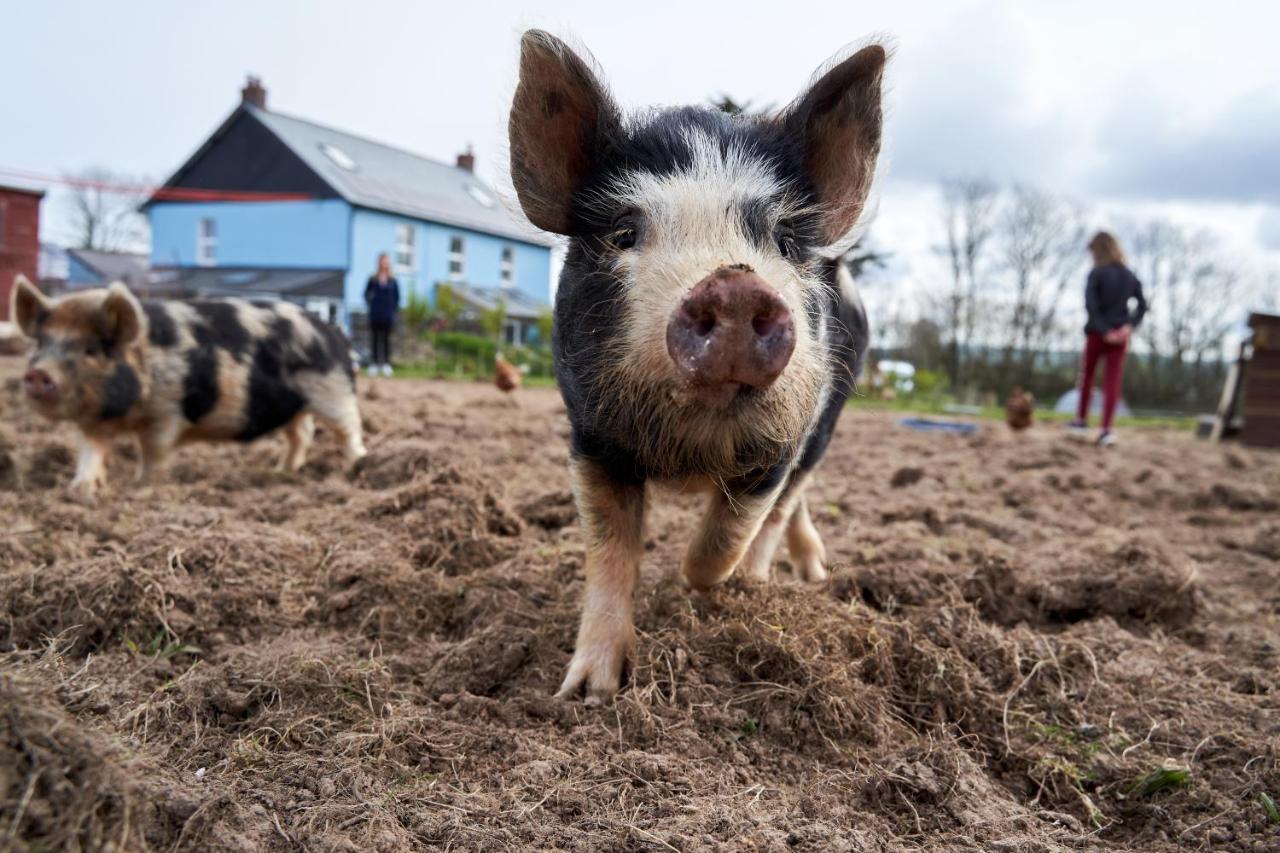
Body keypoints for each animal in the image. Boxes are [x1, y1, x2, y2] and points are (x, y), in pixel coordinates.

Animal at [11, 275, 366, 494]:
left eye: (92, 350)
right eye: (41, 343)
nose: (38, 374)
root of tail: (332, 330)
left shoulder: (167, 413)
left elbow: (152, 452)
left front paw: (142, 485)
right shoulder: (93, 422)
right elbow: (91, 452)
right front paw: (80, 491)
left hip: (334, 392)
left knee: (348, 430)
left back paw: (358, 466)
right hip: (291, 407)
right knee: (301, 433)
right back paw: (281, 472)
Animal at [504, 31, 885, 696]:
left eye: (785, 243)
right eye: (624, 232)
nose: (734, 286)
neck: (689, 455)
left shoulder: (781, 445)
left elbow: (726, 539)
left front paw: (694, 586)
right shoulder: (590, 439)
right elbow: (609, 553)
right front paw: (586, 693)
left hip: (826, 420)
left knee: (788, 503)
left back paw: (773, 582)